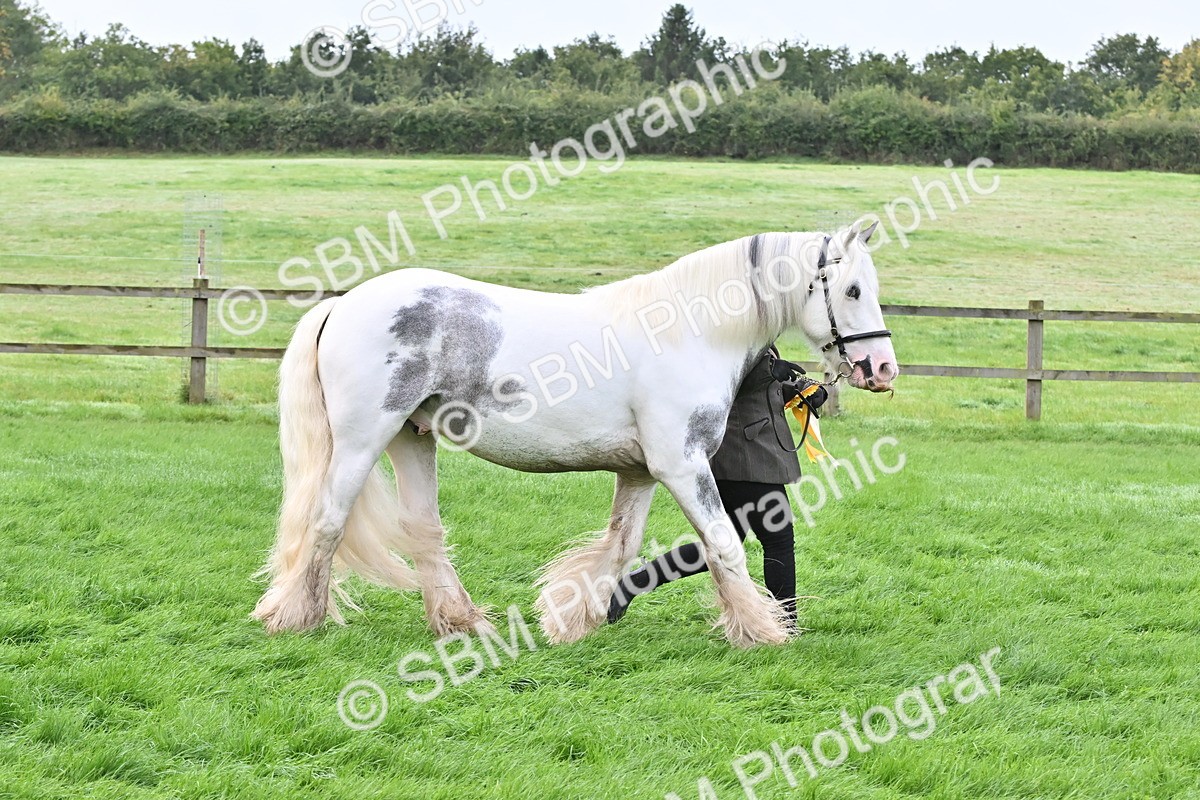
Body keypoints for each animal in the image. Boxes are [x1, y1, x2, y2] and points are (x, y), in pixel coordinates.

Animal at [251, 220, 898, 647]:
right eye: (853, 290)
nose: (882, 368)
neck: (691, 331)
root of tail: (341, 305)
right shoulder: (682, 465)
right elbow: (724, 544)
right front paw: (763, 630)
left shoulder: (640, 472)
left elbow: (621, 547)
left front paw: (575, 619)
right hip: (362, 441)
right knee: (327, 521)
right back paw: (297, 618)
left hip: (413, 438)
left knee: (424, 531)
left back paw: (461, 622)